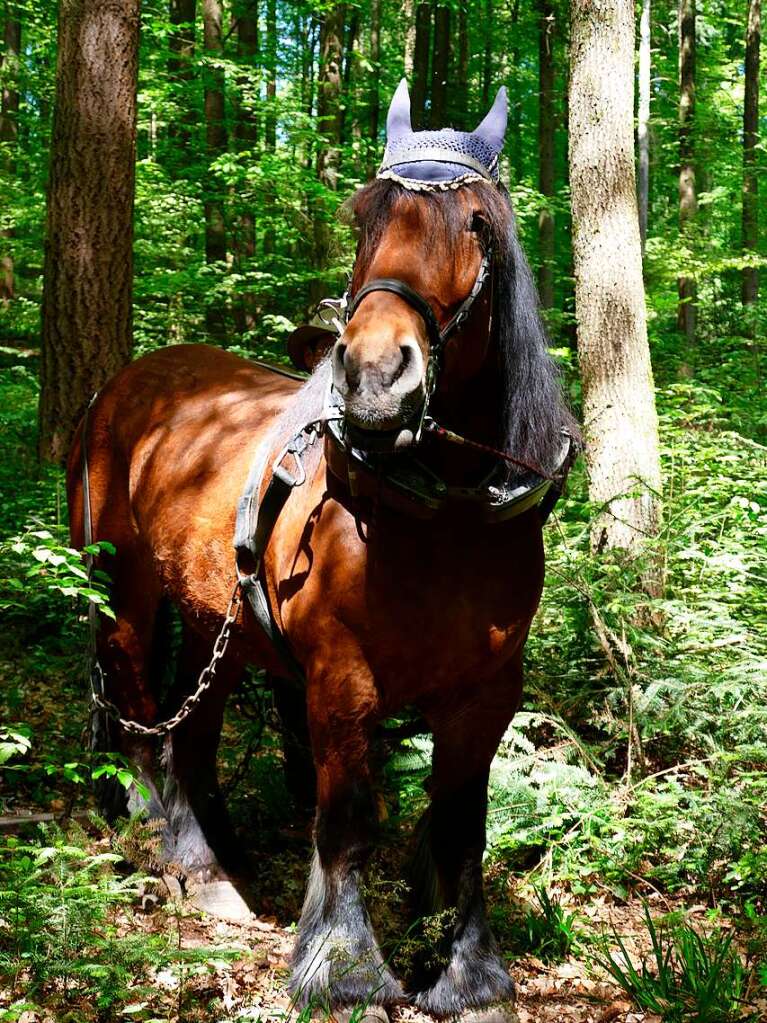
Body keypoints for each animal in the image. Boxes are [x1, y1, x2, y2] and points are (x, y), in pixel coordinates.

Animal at [67, 83, 576, 1018]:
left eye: (475, 226)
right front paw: (345, 969)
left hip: (215, 623)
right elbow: (345, 820)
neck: (443, 517)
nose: (375, 376)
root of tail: (115, 386)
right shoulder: (341, 678)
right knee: (142, 720)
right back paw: (181, 857)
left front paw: (467, 971)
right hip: (120, 588)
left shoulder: (489, 689)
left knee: (193, 728)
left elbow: (463, 825)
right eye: (365, 215)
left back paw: (219, 859)